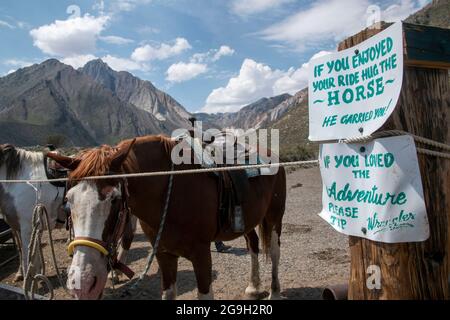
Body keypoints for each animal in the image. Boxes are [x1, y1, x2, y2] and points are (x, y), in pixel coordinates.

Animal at [49, 135, 286, 300]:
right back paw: (253, 287)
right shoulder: (164, 255)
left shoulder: (201, 255)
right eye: (68, 201)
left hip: (275, 217)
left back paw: (274, 292)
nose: (83, 282)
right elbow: (168, 293)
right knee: (253, 244)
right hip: (248, 220)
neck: (171, 192)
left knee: (274, 252)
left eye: (114, 199)